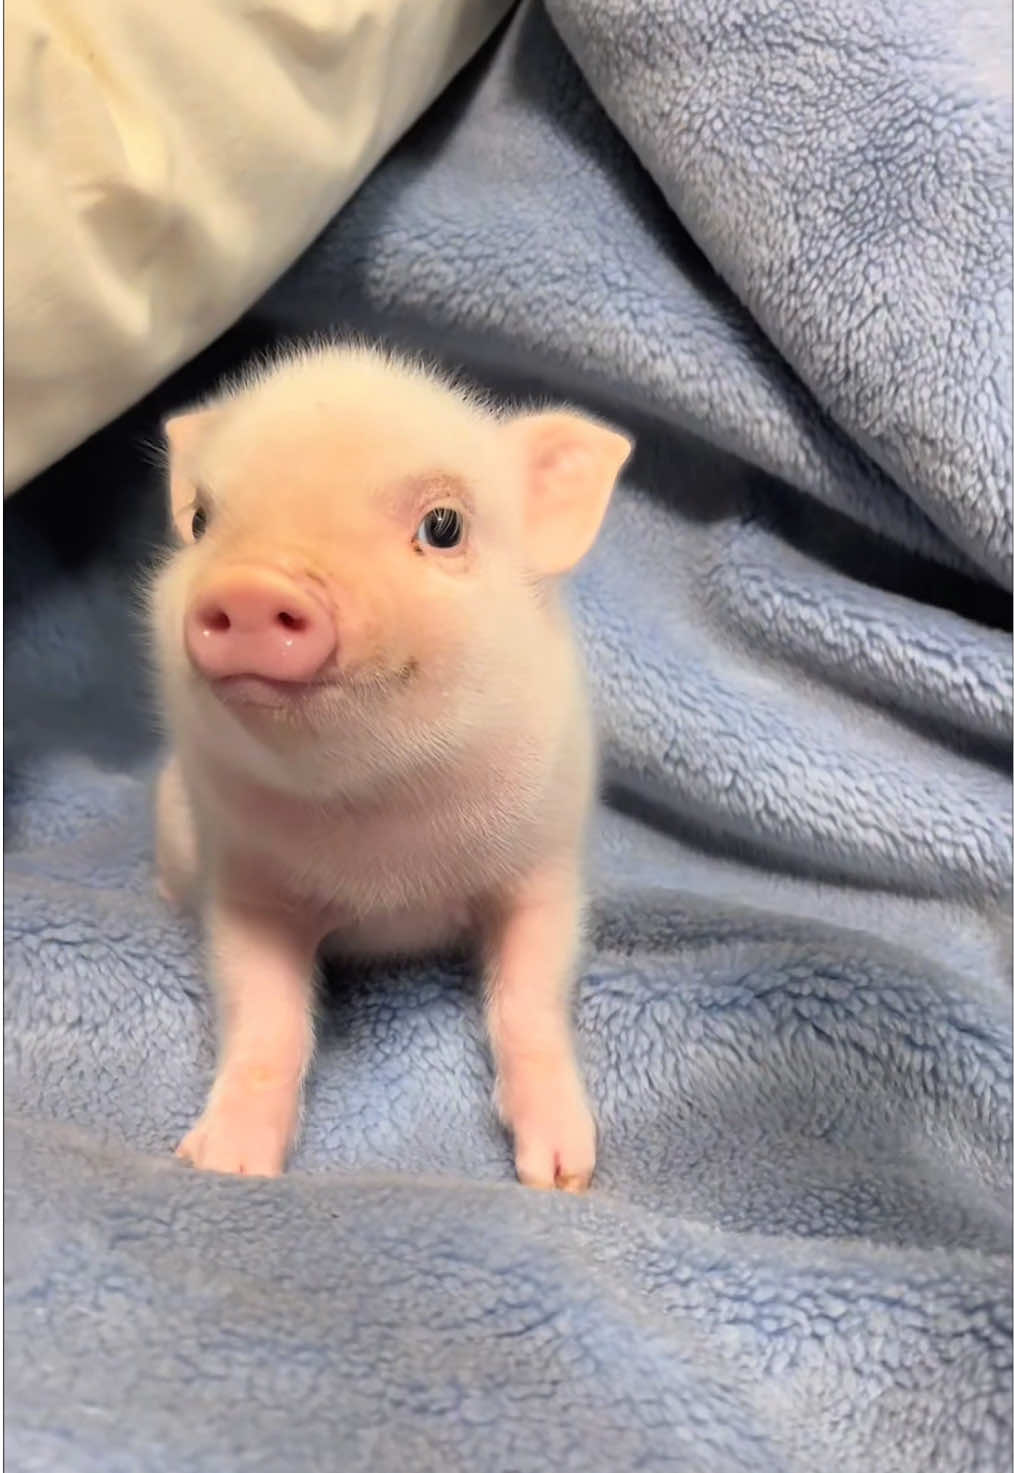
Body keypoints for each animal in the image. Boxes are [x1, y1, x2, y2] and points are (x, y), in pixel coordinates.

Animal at [147, 343, 632, 1190]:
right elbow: (266, 1013)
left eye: (443, 526)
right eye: (203, 520)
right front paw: (226, 1166)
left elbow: (529, 999)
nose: (252, 586)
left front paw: (561, 1174)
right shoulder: (245, 881)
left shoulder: (545, 862)